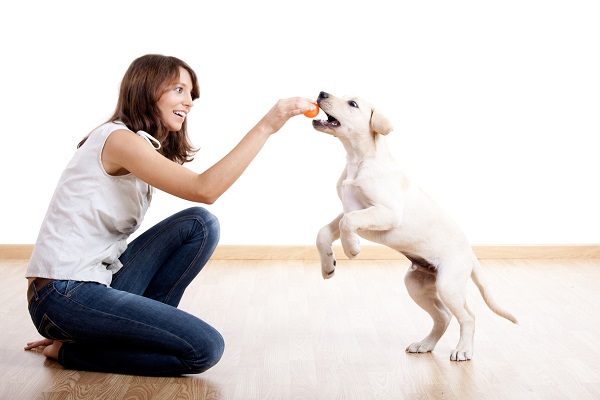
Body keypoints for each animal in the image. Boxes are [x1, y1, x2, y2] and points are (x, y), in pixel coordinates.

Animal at [314, 91, 516, 362]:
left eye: (353, 104)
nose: (322, 93)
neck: (358, 161)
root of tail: (470, 254)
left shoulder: (387, 213)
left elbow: (350, 222)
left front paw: (351, 248)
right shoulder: (349, 208)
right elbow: (324, 232)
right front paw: (328, 265)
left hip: (448, 284)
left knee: (468, 316)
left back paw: (463, 349)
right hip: (416, 284)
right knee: (444, 317)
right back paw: (425, 344)